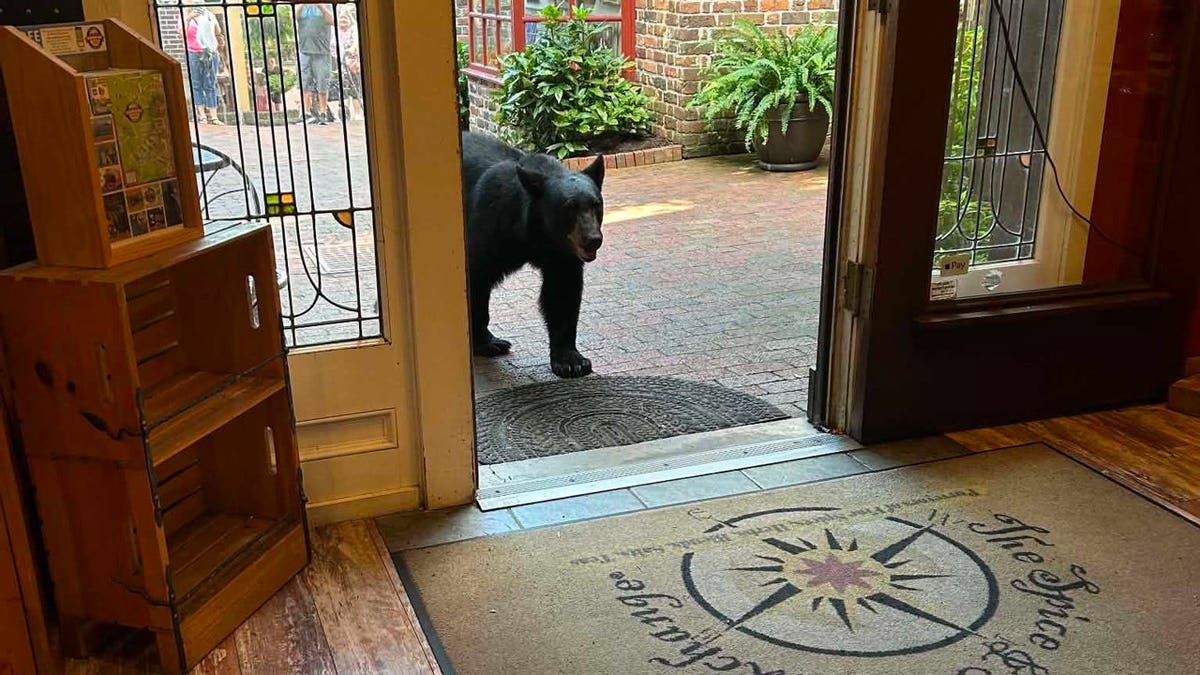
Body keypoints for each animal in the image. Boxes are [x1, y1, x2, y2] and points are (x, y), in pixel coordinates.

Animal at [460, 132, 605, 378]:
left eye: (597, 204)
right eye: (569, 207)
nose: (593, 239)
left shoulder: (562, 254)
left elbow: (562, 293)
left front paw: (571, 360)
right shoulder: (489, 226)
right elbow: (476, 278)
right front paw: (487, 342)